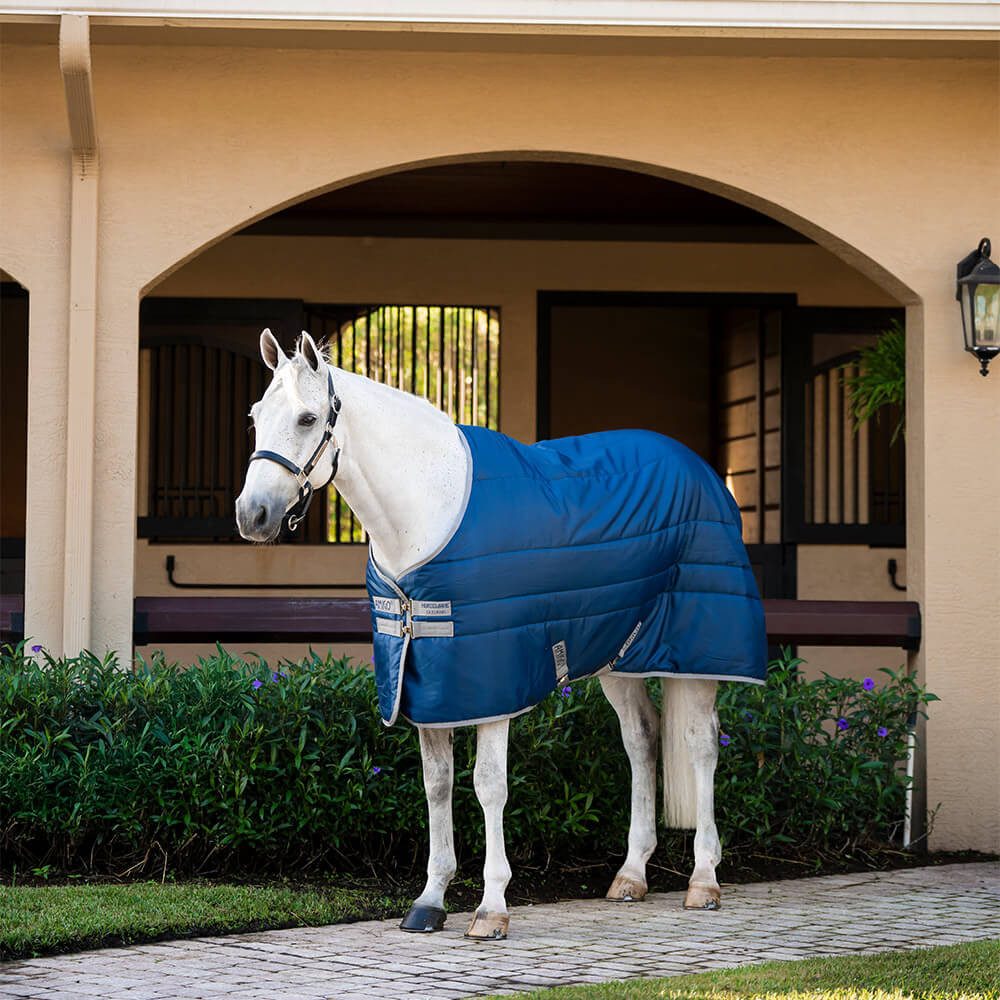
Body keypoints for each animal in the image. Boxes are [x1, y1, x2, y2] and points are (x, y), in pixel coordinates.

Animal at [236, 329, 767, 940]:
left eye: (306, 418)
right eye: (255, 416)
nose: (252, 515)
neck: (427, 509)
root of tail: (701, 470)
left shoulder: (492, 684)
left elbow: (489, 784)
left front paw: (491, 908)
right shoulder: (427, 682)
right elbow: (437, 783)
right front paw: (430, 900)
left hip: (698, 655)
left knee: (701, 744)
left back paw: (704, 880)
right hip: (620, 656)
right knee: (642, 740)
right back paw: (631, 875)